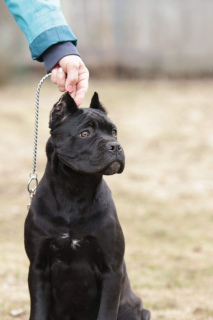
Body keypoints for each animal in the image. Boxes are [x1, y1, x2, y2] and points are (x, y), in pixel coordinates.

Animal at [25, 92, 151, 320]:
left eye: (114, 132)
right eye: (85, 133)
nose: (115, 146)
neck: (74, 192)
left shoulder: (111, 270)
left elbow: (106, 312)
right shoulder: (38, 268)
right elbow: (37, 311)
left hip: (135, 308)